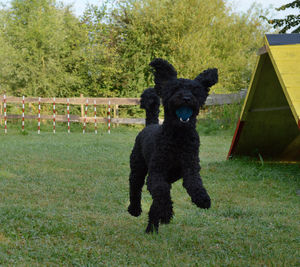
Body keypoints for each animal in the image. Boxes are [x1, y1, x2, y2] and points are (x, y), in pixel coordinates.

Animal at [127, 59, 218, 234]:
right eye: (175, 88)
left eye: (195, 91)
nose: (186, 98)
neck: (178, 138)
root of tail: (150, 124)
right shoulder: (156, 172)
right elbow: (161, 191)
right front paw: (166, 211)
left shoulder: (190, 167)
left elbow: (194, 184)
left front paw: (202, 199)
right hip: (138, 167)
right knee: (135, 187)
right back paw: (135, 210)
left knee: (155, 201)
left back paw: (153, 226)